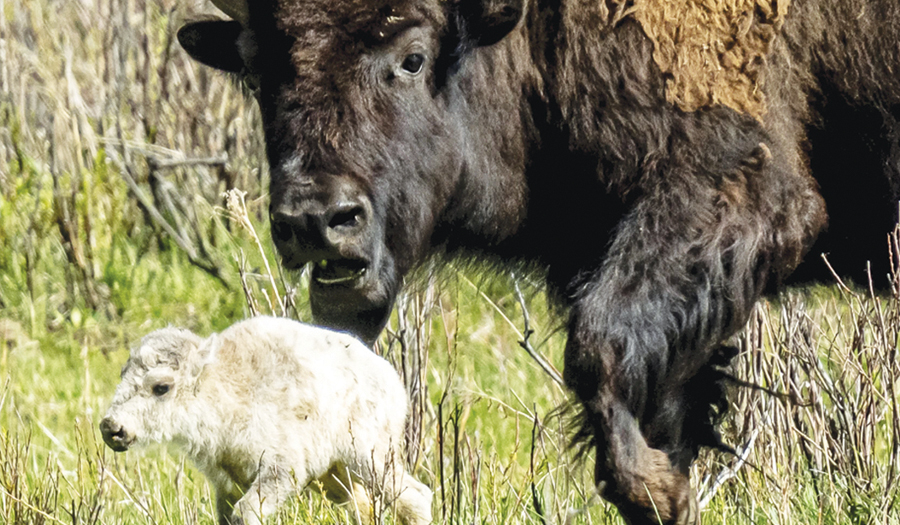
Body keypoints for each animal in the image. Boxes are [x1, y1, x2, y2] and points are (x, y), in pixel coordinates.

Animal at [98, 316, 432, 524]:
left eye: (161, 387)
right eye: (123, 374)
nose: (112, 428)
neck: (225, 387)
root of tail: (392, 380)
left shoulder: (281, 469)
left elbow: (246, 514)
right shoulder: (227, 483)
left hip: (369, 457)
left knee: (415, 497)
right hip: (335, 475)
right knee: (364, 508)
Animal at [178, 0, 900, 520]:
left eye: (412, 58)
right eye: (256, 70)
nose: (316, 219)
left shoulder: (739, 193)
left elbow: (599, 348)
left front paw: (652, 486)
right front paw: (668, 488)